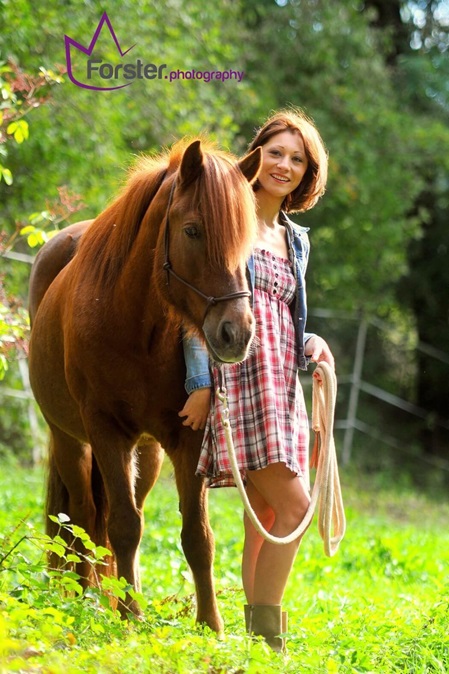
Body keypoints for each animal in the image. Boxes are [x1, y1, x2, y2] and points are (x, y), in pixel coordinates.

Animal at [28, 138, 260, 632]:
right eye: (192, 230)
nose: (236, 333)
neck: (136, 325)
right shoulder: (105, 431)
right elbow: (123, 525)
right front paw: (130, 617)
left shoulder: (187, 439)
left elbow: (197, 534)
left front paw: (210, 625)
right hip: (70, 441)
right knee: (84, 515)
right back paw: (87, 596)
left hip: (148, 455)